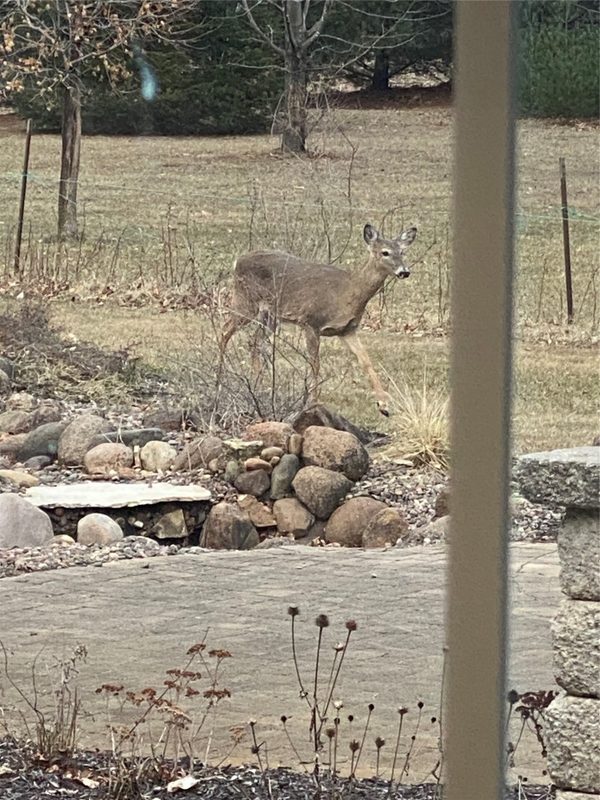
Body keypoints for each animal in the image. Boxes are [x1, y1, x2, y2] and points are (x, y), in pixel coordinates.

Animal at [219, 223, 417, 416]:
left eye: (402, 252)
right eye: (385, 252)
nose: (404, 271)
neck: (348, 292)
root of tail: (238, 261)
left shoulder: (347, 330)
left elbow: (366, 361)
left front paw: (384, 406)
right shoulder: (311, 322)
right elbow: (315, 364)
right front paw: (313, 404)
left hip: (270, 316)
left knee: (253, 340)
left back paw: (257, 385)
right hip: (245, 301)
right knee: (225, 331)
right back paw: (220, 379)